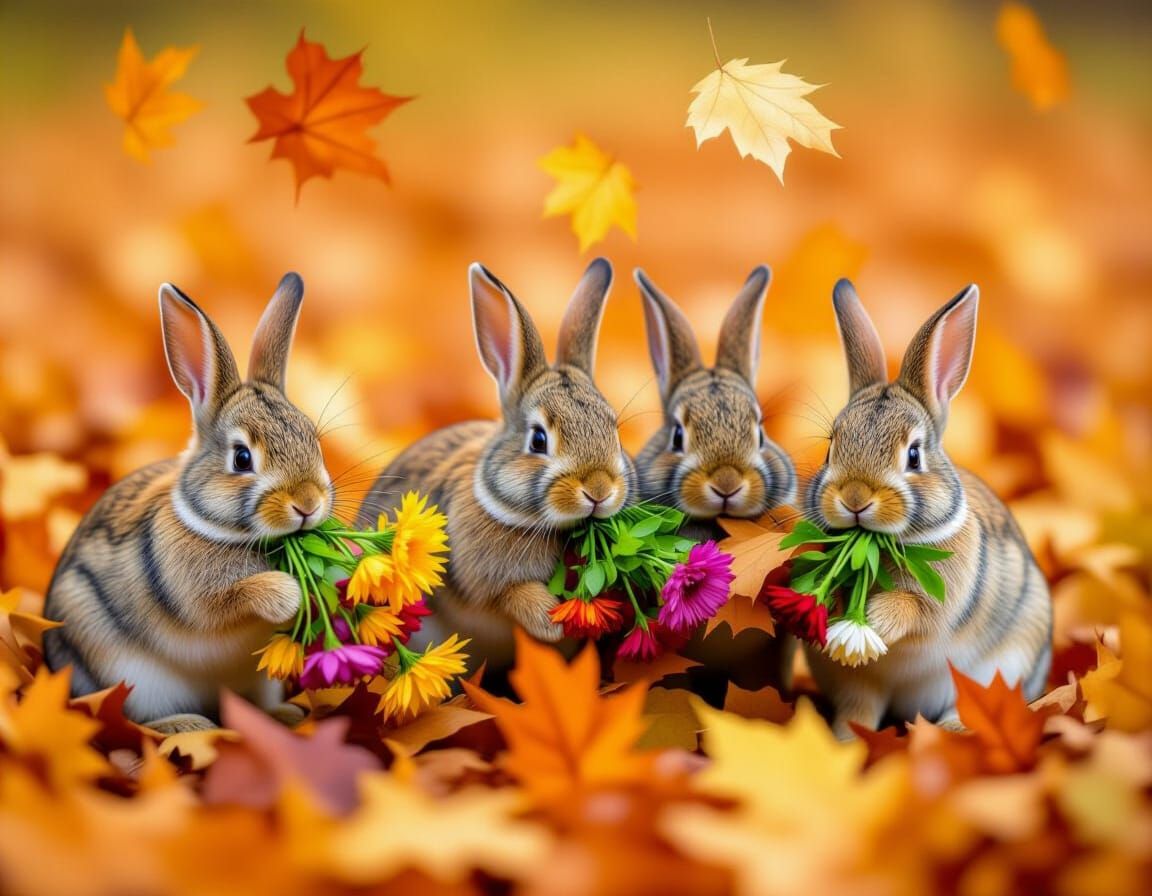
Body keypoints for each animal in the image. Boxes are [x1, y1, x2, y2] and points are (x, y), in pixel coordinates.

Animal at [43, 273, 333, 734]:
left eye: (313, 440)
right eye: (242, 458)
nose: (307, 504)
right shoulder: (196, 593)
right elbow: (230, 599)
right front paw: (288, 593)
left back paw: (283, 715)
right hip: (129, 675)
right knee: (138, 718)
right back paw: (188, 726)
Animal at [358, 259, 633, 669]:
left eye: (614, 429)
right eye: (538, 440)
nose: (598, 490)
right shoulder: (490, 580)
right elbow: (513, 595)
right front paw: (552, 623)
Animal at [804, 279, 1052, 738]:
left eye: (914, 456)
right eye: (831, 448)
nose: (854, 497)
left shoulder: (937, 599)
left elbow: (914, 610)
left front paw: (875, 621)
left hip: (1002, 666)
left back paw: (950, 731)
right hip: (856, 683)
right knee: (858, 710)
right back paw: (844, 741)